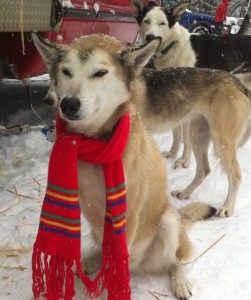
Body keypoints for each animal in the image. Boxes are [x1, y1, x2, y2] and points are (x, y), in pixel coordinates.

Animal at [31, 32, 220, 300]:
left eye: (100, 73)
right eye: (66, 71)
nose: (68, 104)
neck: (96, 142)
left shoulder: (126, 216)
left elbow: (116, 265)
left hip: (168, 224)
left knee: (177, 260)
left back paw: (179, 281)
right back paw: (93, 260)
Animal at [131, 0, 251, 169]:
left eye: (162, 23)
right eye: (146, 21)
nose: (150, 37)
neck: (174, 45)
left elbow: (186, 137)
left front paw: (184, 159)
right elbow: (176, 133)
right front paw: (173, 153)